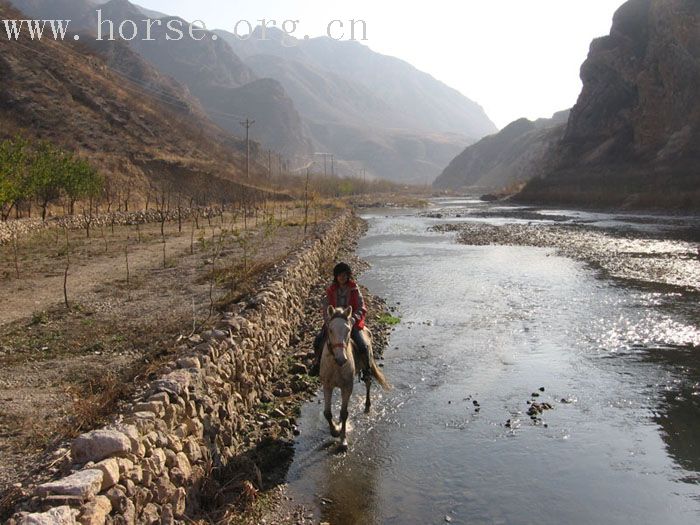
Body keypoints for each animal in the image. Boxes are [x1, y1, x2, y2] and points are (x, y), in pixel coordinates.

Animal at [322, 304, 392, 448]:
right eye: (330, 330)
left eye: (348, 330)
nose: (341, 359)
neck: (336, 365)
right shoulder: (327, 386)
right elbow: (327, 413)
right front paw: (334, 430)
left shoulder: (347, 387)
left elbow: (344, 413)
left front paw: (343, 440)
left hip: (367, 365)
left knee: (368, 383)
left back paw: (367, 405)